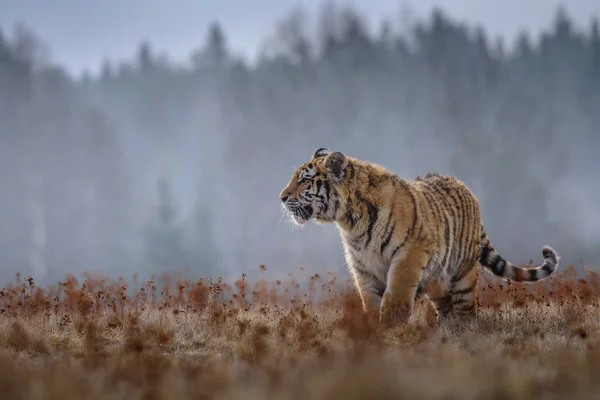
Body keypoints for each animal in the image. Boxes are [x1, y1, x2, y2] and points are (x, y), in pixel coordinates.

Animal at [278, 148, 560, 326]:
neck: (350, 222)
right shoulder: (363, 269)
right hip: (438, 282)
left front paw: (390, 329)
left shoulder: (408, 256)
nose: (281, 197)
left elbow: (396, 299)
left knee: (466, 312)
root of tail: (468, 191)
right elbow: (371, 302)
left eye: (304, 180)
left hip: (463, 277)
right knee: (446, 308)